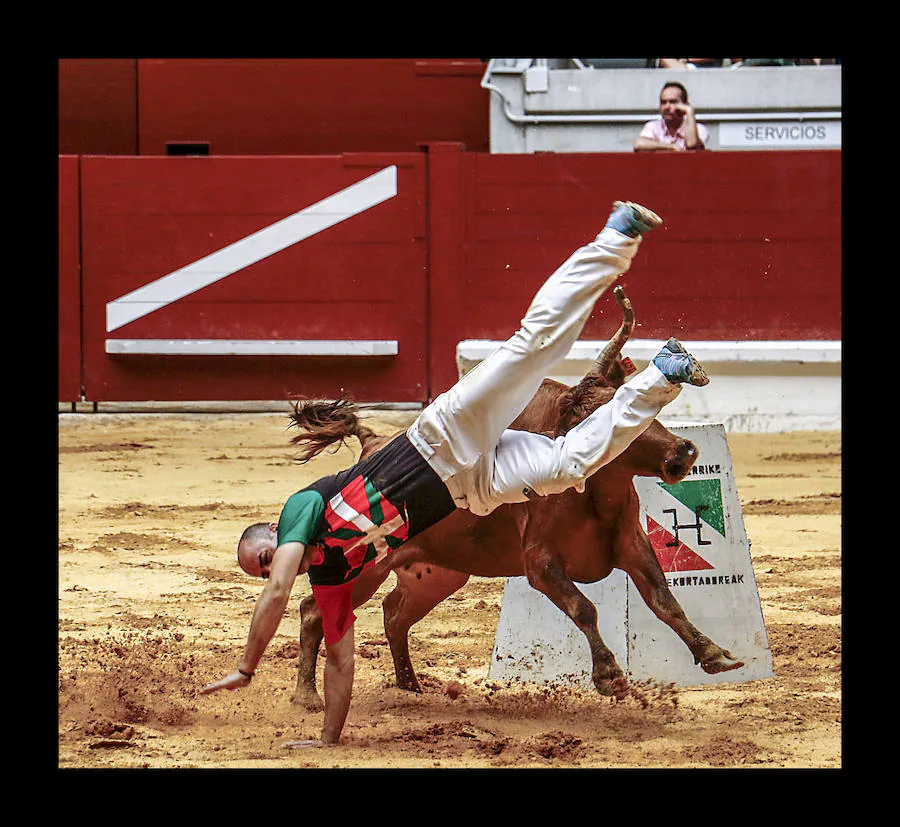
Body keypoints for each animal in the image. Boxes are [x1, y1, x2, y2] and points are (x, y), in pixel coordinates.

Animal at [286, 288, 740, 708]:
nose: (683, 452)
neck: (595, 496)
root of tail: (372, 445)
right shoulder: (540, 564)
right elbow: (584, 607)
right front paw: (610, 676)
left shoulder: (632, 543)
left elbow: (665, 600)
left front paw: (713, 652)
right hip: (364, 567)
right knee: (314, 610)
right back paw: (307, 695)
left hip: (438, 575)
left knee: (395, 613)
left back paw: (411, 685)